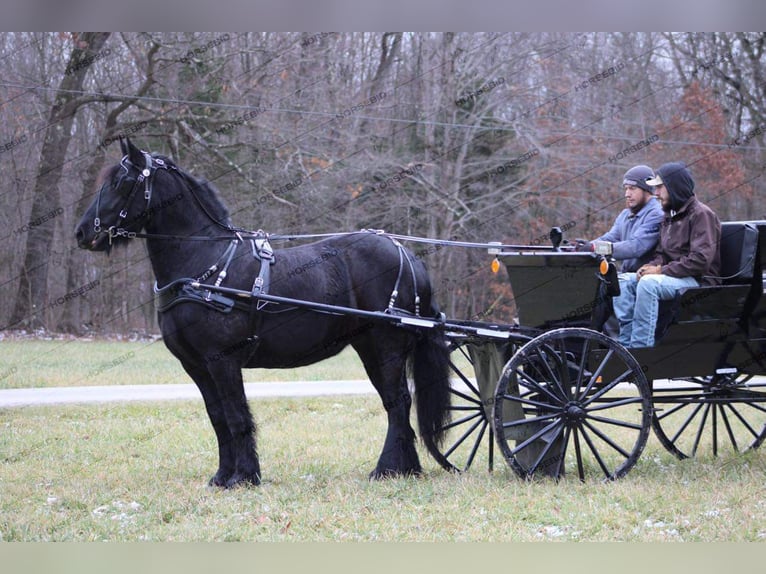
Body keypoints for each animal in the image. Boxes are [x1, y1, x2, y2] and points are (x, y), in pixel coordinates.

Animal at [75, 140, 452, 490]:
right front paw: (222, 476)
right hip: (370, 348)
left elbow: (237, 416)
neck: (204, 264)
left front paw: (243, 477)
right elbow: (218, 419)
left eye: (122, 181)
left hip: (385, 345)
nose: (83, 233)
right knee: (395, 402)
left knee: (398, 402)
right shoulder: (196, 365)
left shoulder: (222, 360)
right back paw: (406, 468)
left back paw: (387, 469)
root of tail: (408, 255)